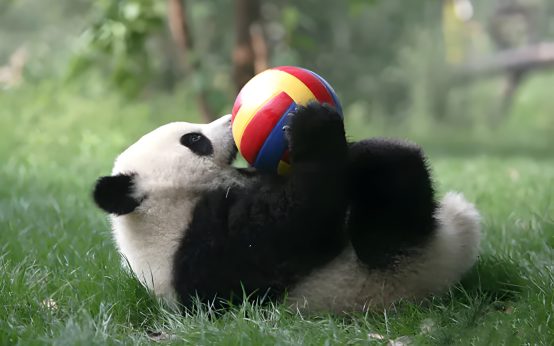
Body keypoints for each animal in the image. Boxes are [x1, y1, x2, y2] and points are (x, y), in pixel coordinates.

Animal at [91, 103, 478, 314]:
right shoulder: (207, 250)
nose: (230, 119)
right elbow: (298, 223)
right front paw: (313, 125)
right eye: (194, 140)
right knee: (391, 212)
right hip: (395, 264)